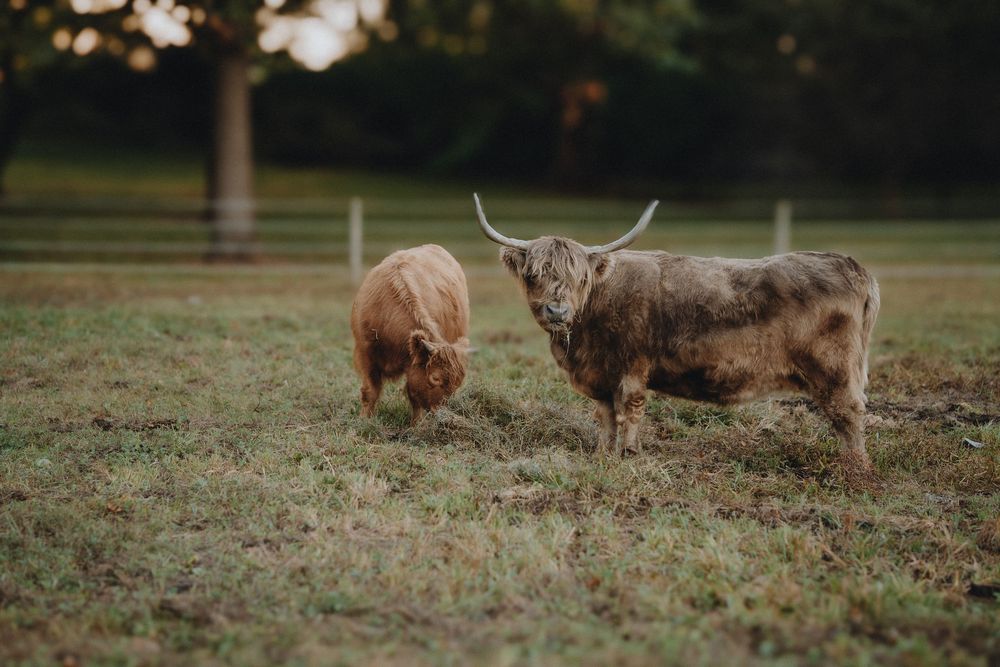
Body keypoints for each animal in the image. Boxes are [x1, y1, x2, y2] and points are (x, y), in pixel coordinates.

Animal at [351, 244, 471, 424]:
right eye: (435, 378)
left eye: (457, 384)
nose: (442, 415)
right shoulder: (365, 354)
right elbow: (369, 391)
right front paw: (364, 419)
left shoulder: (411, 364)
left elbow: (413, 395)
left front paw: (417, 424)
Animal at [474, 194, 880, 471]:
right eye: (533, 275)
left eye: (581, 278)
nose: (557, 310)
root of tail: (853, 266)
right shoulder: (601, 374)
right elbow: (604, 416)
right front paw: (603, 454)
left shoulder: (632, 367)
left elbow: (629, 412)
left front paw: (628, 455)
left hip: (834, 370)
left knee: (849, 414)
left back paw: (855, 472)